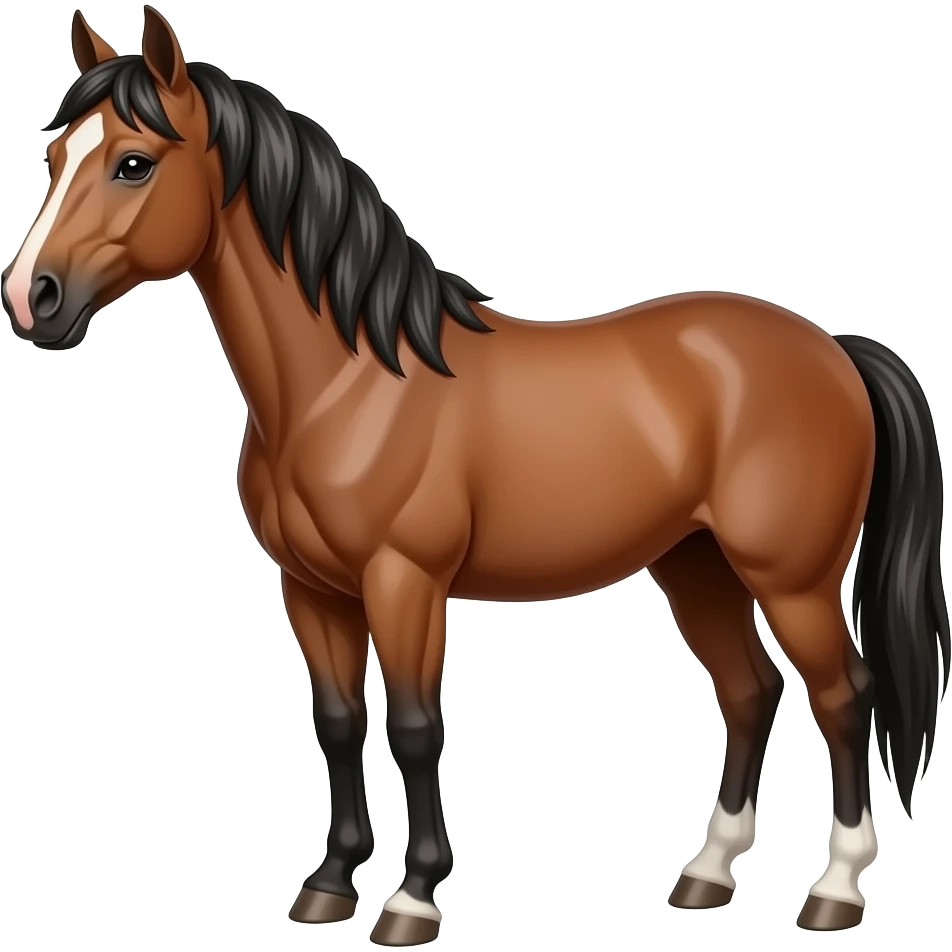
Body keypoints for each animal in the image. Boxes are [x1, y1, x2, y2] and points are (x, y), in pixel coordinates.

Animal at [2, 6, 948, 942]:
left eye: (133, 163)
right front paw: (329, 885)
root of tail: (834, 350)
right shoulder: (312, 590)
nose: (30, 298)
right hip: (697, 565)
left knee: (845, 695)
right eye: (56, 157)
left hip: (792, 579)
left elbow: (417, 728)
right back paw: (706, 875)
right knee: (750, 692)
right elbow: (338, 725)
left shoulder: (405, 582)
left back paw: (834, 891)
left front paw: (413, 898)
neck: (350, 381)